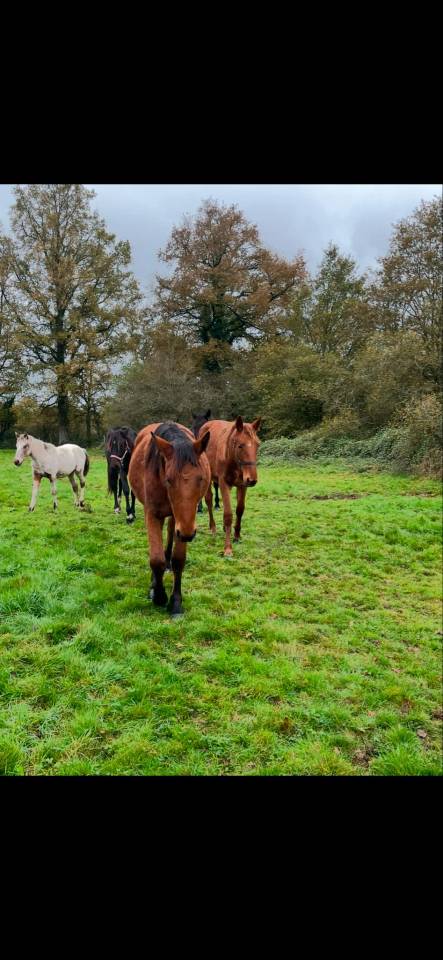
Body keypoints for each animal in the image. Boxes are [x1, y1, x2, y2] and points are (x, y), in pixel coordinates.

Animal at [128, 421, 211, 617]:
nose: (188, 534)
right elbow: (155, 559)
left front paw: (175, 602)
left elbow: (178, 560)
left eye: (201, 478)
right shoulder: (152, 514)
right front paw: (158, 595)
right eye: (169, 479)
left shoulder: (184, 522)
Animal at [203, 415, 261, 557]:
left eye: (258, 444)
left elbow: (240, 510)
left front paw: (237, 536)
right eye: (240, 445)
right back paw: (213, 527)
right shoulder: (223, 483)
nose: (252, 480)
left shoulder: (243, 484)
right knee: (209, 501)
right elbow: (228, 514)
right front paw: (228, 548)